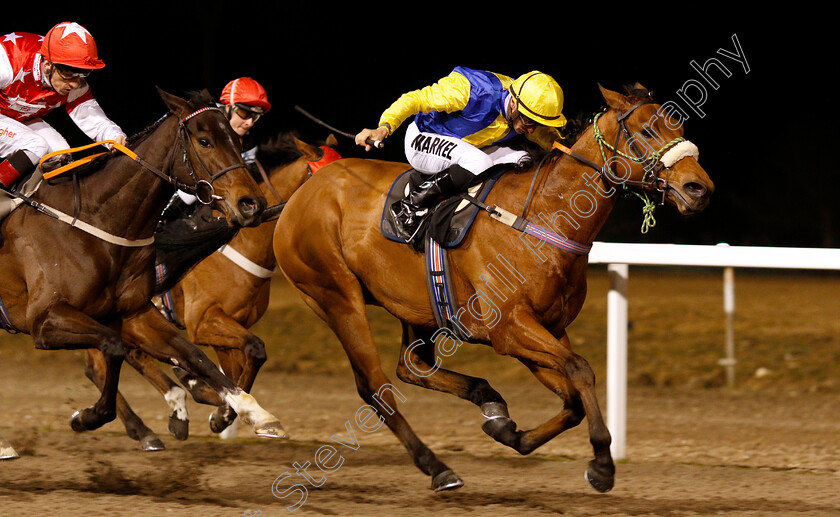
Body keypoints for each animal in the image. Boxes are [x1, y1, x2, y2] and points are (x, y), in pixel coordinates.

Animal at [0, 88, 286, 460]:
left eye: (238, 142)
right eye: (205, 140)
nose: (252, 204)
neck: (97, 219)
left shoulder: (134, 313)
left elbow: (198, 356)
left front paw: (254, 413)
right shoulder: (45, 320)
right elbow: (113, 348)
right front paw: (87, 416)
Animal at [274, 85, 716, 492]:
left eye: (679, 127)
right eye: (646, 131)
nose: (699, 189)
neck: (542, 217)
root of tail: (305, 191)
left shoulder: (548, 328)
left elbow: (572, 398)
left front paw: (508, 431)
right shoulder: (510, 328)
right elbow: (581, 369)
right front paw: (603, 464)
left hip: (414, 306)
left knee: (411, 366)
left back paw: (486, 398)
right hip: (336, 297)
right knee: (374, 386)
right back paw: (437, 467)